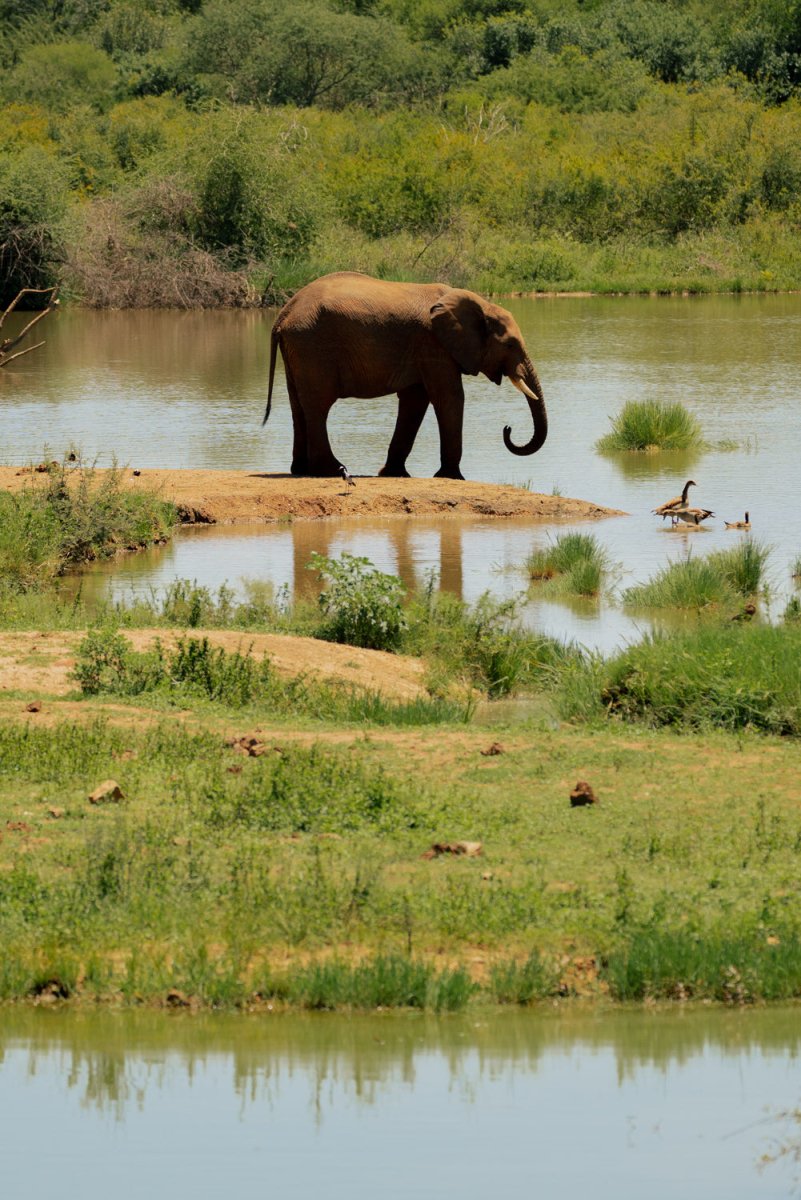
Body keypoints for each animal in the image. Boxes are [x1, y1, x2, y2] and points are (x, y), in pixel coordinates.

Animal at [266, 272, 546, 477]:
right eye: (510, 345)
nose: (507, 428)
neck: (482, 304)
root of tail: (283, 314)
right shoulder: (432, 343)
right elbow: (449, 397)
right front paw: (452, 477)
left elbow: (415, 401)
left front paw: (394, 473)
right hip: (313, 345)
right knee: (318, 406)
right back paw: (334, 470)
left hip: (299, 349)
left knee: (299, 406)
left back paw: (301, 470)